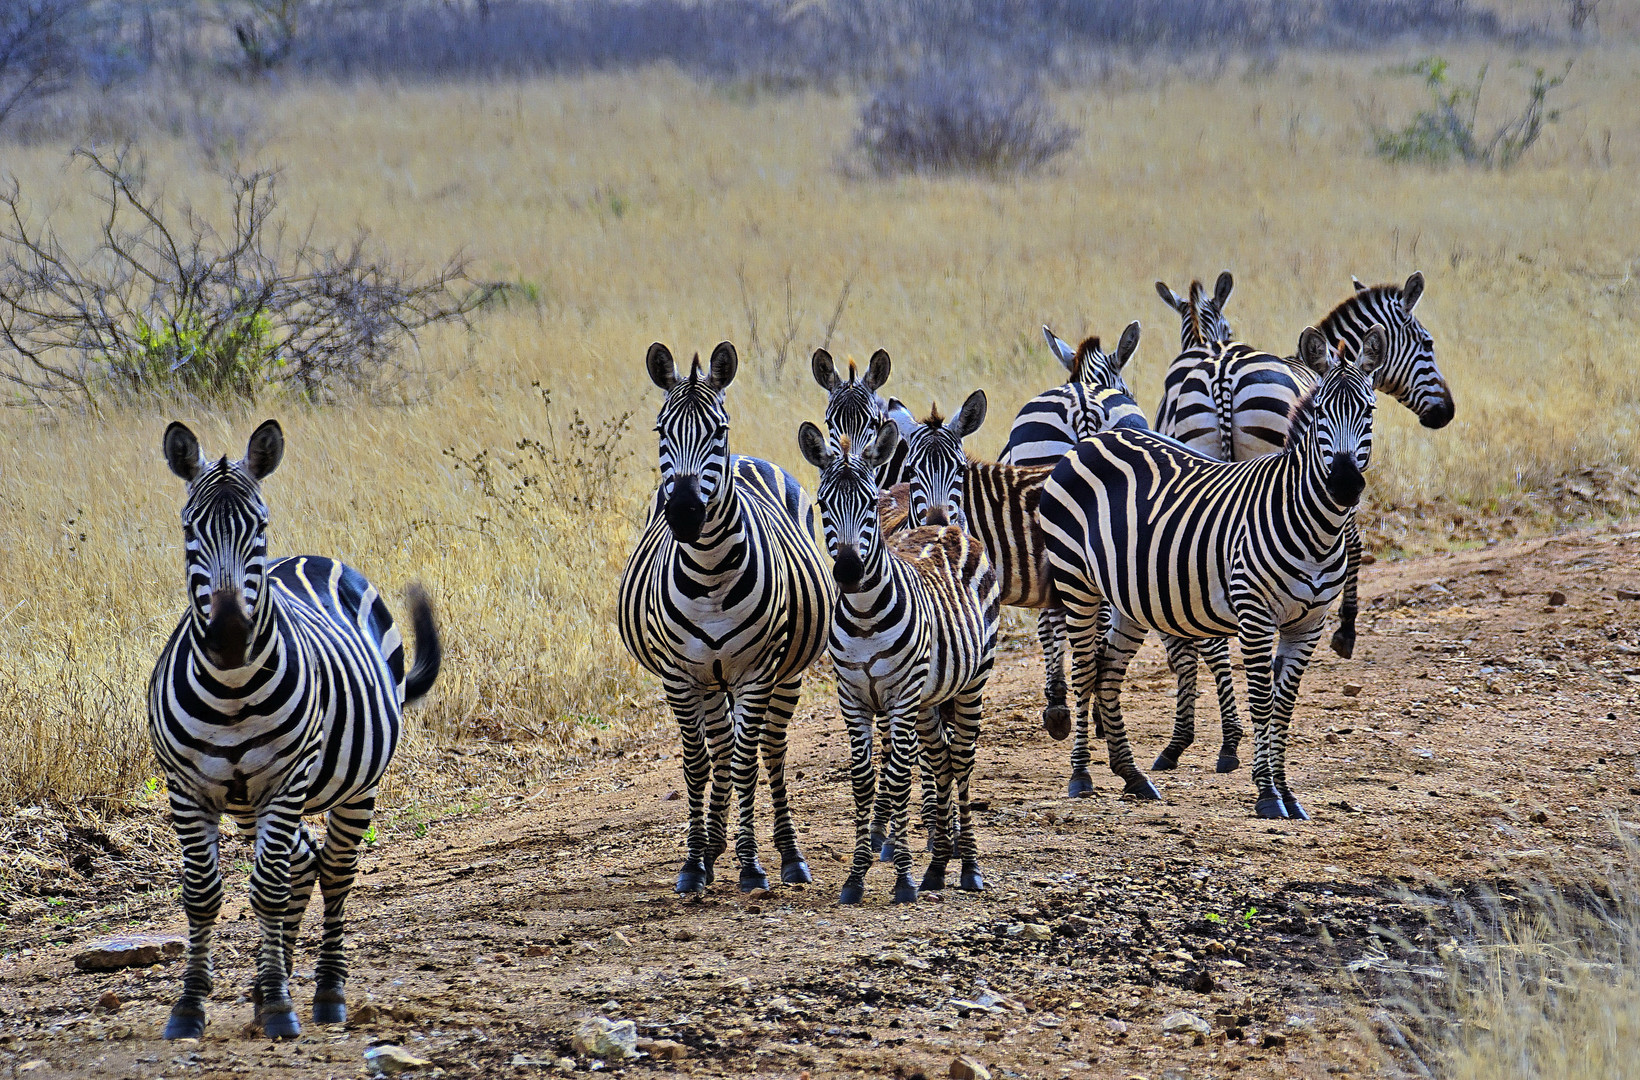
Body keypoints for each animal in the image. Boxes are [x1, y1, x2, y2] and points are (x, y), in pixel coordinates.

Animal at [147, 419, 439, 1042]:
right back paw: (264, 986)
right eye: (188, 529)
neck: (232, 686)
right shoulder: (186, 788)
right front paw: (190, 1005)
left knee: (332, 872)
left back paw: (325, 993)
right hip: (253, 803)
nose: (229, 636)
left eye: (258, 526)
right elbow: (203, 895)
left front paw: (282, 1005)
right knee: (302, 865)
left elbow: (267, 889)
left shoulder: (286, 780)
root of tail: (312, 557)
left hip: (352, 789)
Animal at [619, 342, 839, 891]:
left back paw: (787, 855)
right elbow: (698, 763)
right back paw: (715, 845)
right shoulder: (679, 676)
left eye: (718, 428)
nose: (684, 514)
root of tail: (747, 459)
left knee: (769, 751)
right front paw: (694, 862)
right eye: (660, 430)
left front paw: (751, 864)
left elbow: (745, 762)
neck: (710, 573)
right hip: (710, 680)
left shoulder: (756, 672)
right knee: (720, 748)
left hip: (783, 674)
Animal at [800, 422, 1003, 904]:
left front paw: (904, 879)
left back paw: (968, 868)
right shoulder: (853, 700)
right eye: (822, 504)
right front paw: (856, 877)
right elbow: (864, 782)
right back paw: (938, 867)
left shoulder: (899, 700)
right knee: (942, 760)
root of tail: (947, 529)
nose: (849, 572)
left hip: (970, 684)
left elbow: (896, 781)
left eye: (870, 505)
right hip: (928, 701)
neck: (864, 616)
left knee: (961, 761)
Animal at [1036, 327, 1384, 819]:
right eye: (1319, 412)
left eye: (1368, 411)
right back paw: (1081, 775)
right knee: (1085, 669)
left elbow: (1284, 707)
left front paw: (1288, 794)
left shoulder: (1310, 623)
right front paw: (1267, 795)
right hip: (1078, 583)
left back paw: (1133, 776)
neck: (1314, 526)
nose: (1345, 485)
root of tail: (1090, 440)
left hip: (1127, 597)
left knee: (1107, 672)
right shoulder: (1255, 615)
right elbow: (1262, 702)